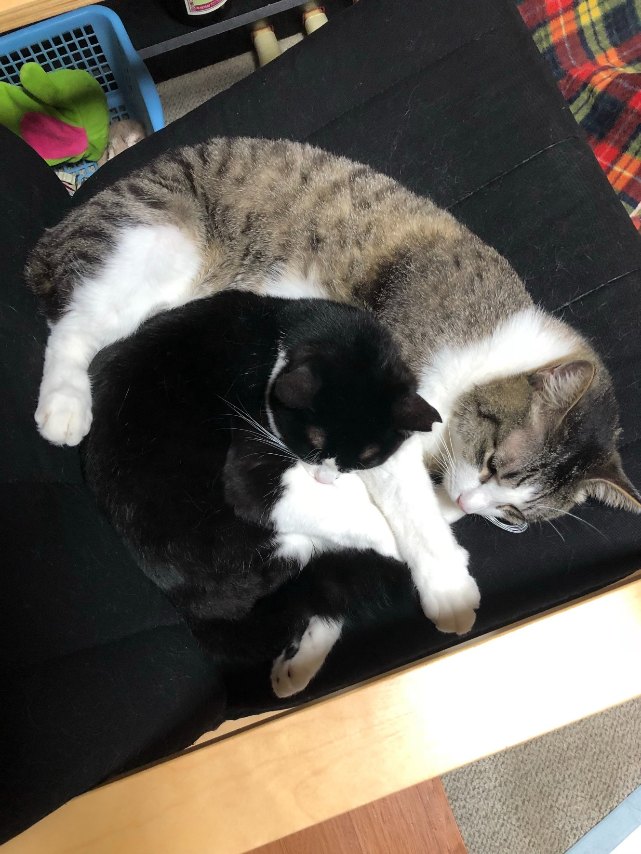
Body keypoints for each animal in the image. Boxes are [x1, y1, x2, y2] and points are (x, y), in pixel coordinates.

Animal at [26, 137, 641, 641]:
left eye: (513, 514)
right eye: (494, 464)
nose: (473, 503)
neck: (485, 350)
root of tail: (60, 229)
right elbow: (406, 506)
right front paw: (446, 585)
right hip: (152, 248)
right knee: (74, 329)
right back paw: (64, 407)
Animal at [82, 289, 439, 695]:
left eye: (368, 457)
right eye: (313, 442)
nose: (326, 479)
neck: (287, 331)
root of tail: (194, 611)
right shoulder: (251, 467)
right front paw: (400, 543)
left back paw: (295, 668)